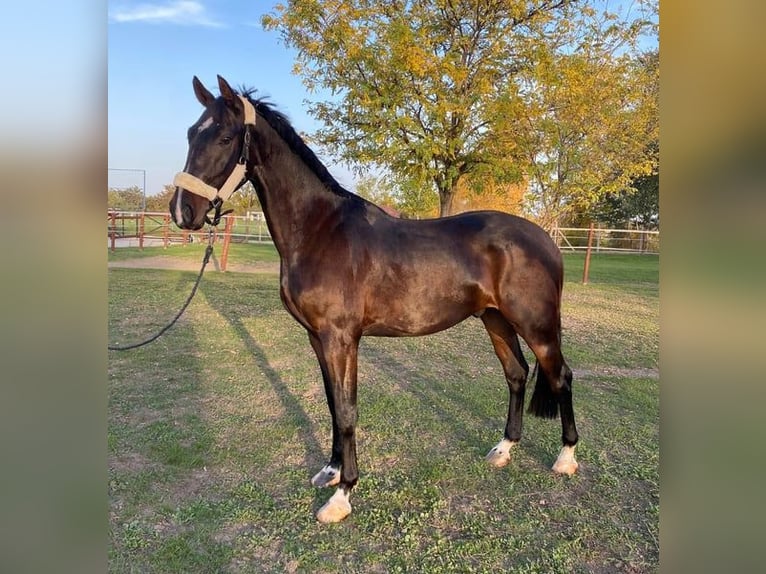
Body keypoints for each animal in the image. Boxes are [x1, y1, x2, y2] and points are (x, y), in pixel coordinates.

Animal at [170, 75, 579, 523]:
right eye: (190, 133)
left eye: (225, 137)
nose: (182, 212)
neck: (319, 231)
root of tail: (546, 239)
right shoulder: (317, 338)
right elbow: (333, 404)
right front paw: (331, 471)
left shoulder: (341, 338)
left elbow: (347, 410)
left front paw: (342, 494)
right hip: (496, 320)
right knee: (517, 374)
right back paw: (504, 450)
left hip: (536, 325)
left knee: (560, 376)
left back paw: (566, 458)